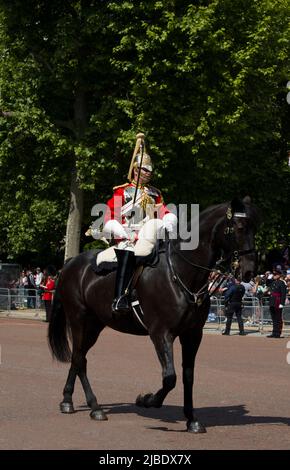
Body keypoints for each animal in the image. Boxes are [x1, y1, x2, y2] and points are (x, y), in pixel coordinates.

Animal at [48, 196, 260, 434]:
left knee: (79, 357)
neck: (182, 273)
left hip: (94, 325)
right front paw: (147, 400)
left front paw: (191, 419)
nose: (250, 271)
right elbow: (170, 377)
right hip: (78, 319)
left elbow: (188, 376)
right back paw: (89, 406)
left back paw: (75, 402)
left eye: (255, 227)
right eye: (240, 227)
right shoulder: (161, 333)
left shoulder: (192, 335)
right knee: (78, 358)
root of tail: (70, 263)